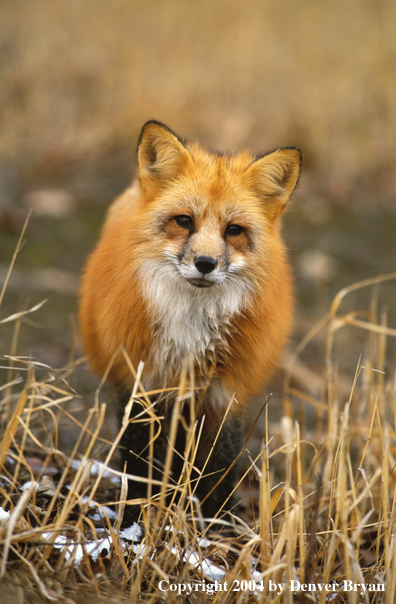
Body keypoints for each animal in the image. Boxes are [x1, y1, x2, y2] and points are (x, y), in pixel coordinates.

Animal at [79, 121, 302, 520]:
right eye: (184, 221)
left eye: (234, 230)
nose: (205, 263)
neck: (192, 332)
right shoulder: (143, 383)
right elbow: (140, 461)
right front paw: (140, 516)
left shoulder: (226, 392)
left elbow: (219, 466)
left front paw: (216, 523)